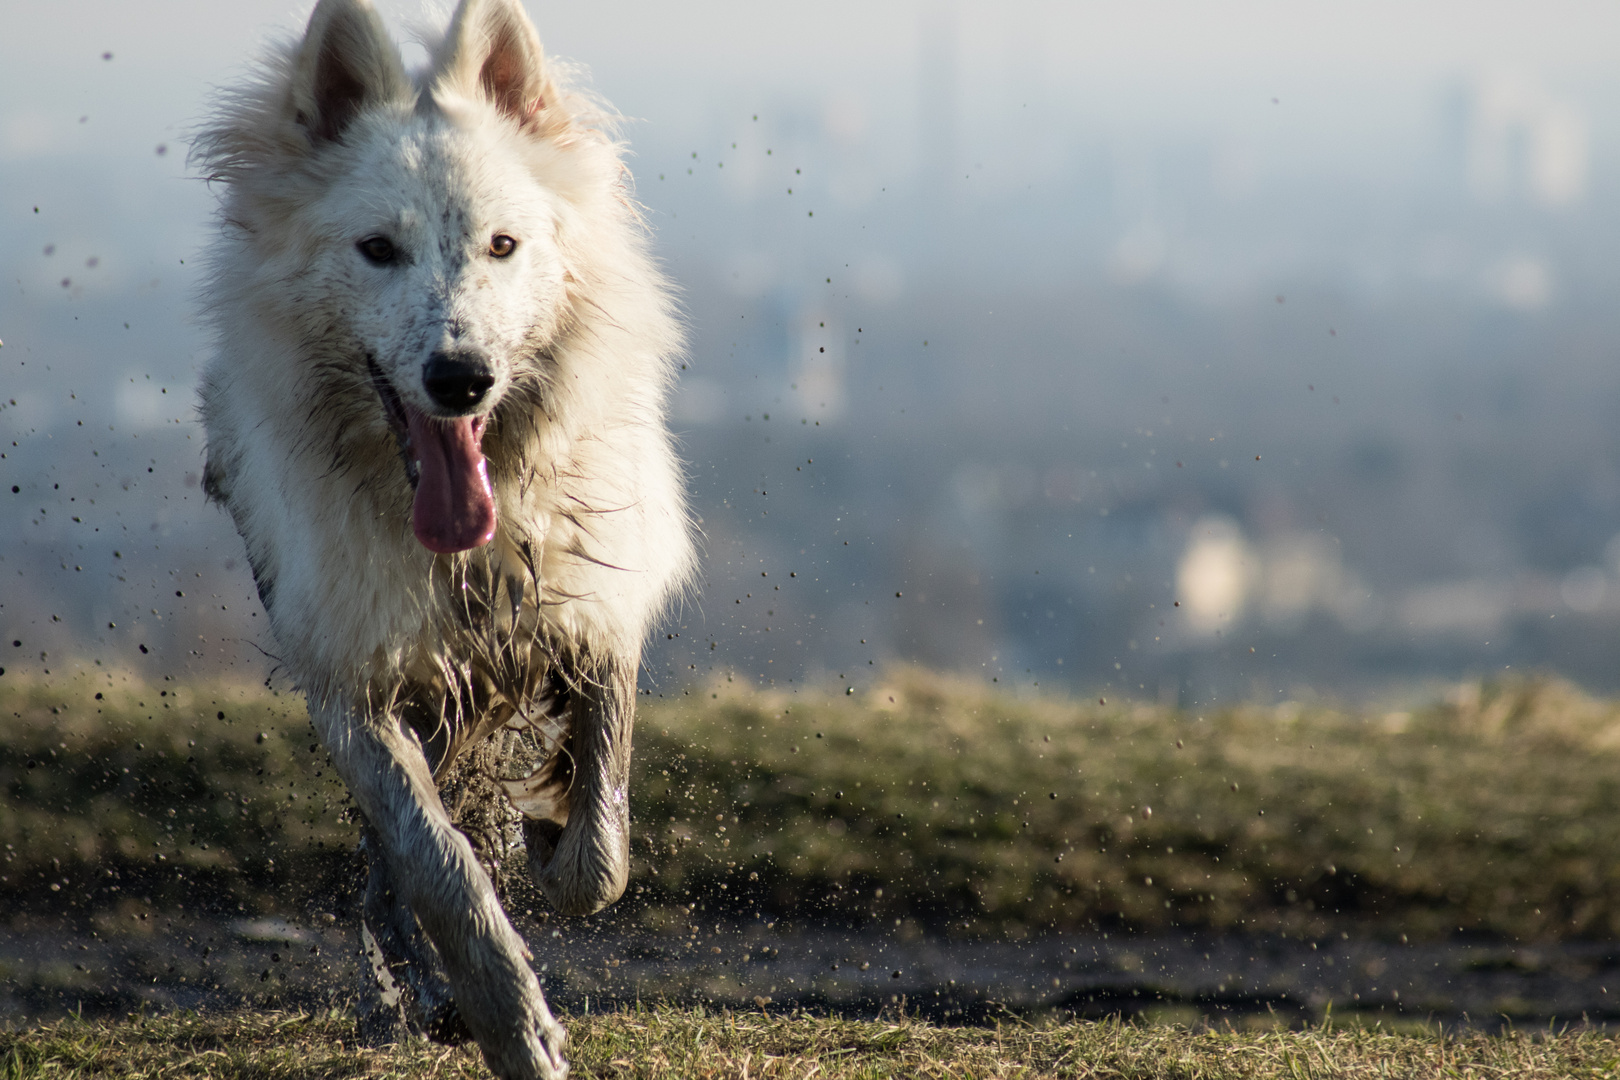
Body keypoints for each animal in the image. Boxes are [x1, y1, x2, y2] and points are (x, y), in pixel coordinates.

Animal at [194, 2, 690, 1075]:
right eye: (378, 248)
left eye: (503, 245)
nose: (460, 377)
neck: (465, 550)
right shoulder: (353, 681)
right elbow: (439, 872)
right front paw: (516, 1028)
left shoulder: (596, 614)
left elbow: (602, 843)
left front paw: (553, 831)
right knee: (394, 866)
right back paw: (424, 988)